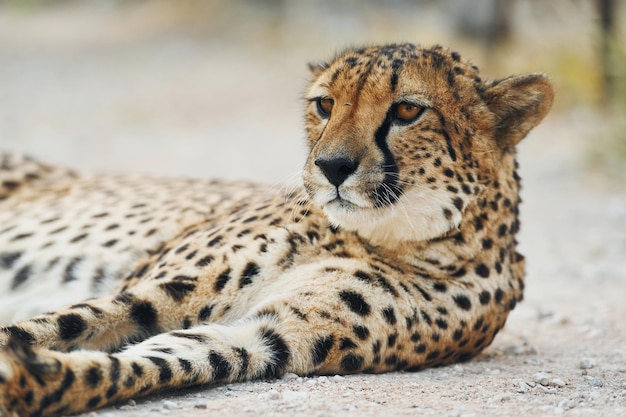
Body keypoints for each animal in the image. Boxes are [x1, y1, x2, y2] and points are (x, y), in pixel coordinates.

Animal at [0, 44, 552, 414]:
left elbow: (144, 363)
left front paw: (29, 382)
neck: (378, 235)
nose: (332, 166)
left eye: (407, 110)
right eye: (324, 105)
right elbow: (51, 326)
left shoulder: (267, 337)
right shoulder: (158, 291)